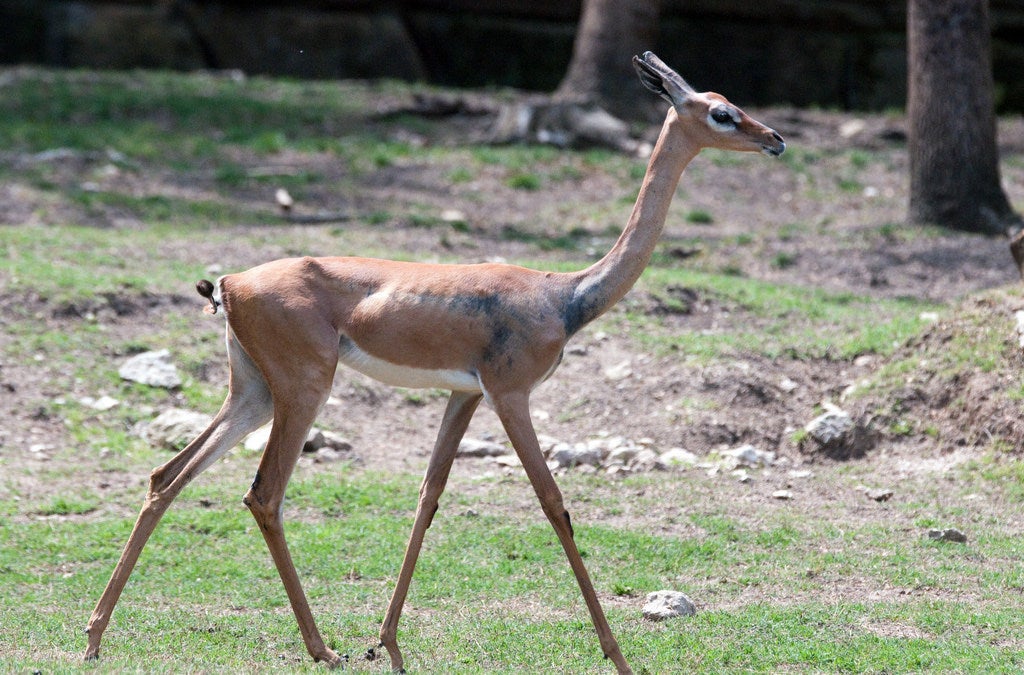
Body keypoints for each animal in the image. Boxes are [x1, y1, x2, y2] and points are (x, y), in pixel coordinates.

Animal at [83, 52, 784, 673]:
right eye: (722, 113)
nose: (774, 138)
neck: (564, 295)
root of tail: (229, 283)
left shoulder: (464, 395)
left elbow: (429, 494)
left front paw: (389, 646)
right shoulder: (510, 395)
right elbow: (553, 502)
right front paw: (618, 657)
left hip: (252, 394)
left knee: (167, 477)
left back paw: (94, 637)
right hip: (305, 389)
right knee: (263, 495)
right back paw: (321, 650)